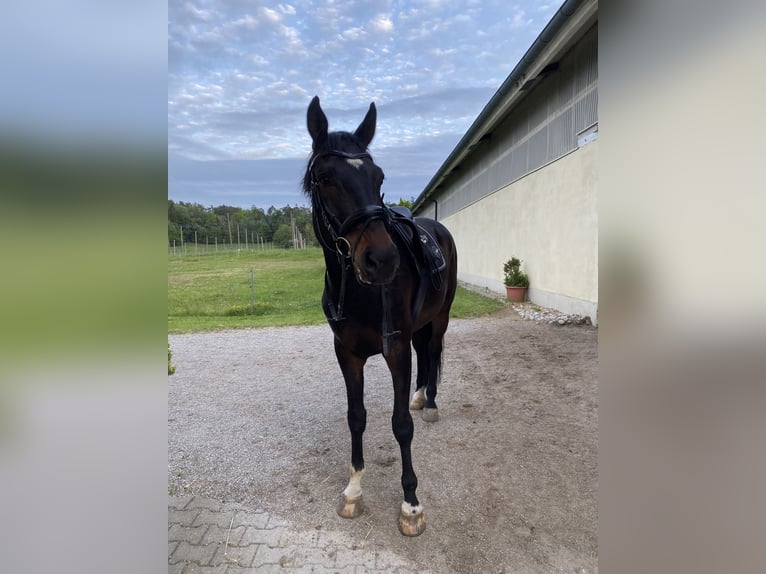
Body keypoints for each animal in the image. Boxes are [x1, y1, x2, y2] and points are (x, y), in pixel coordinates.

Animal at [304, 97, 460, 536]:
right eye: (324, 177)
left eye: (379, 176)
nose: (382, 260)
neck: (360, 292)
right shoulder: (347, 353)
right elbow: (356, 417)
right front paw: (354, 490)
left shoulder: (396, 350)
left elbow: (400, 425)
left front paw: (411, 504)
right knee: (426, 356)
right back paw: (420, 396)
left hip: (439, 319)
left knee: (433, 352)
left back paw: (430, 402)